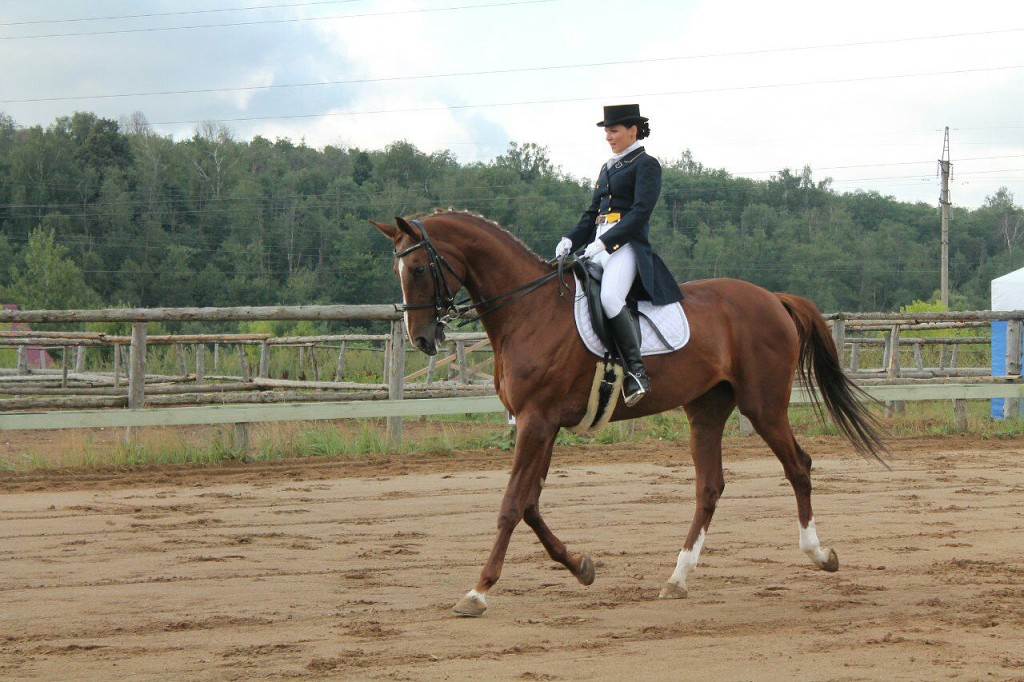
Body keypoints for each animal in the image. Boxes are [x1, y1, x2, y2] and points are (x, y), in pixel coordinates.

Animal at [371, 210, 886, 617]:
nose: (423, 339)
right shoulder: (543, 424)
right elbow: (532, 504)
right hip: (706, 409)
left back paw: (819, 555)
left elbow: (512, 505)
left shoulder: (537, 421)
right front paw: (580, 566)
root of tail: (772, 297)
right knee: (710, 487)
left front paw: (478, 591)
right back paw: (677, 578)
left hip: (763, 405)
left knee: (798, 466)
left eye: (418, 267)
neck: (529, 310)